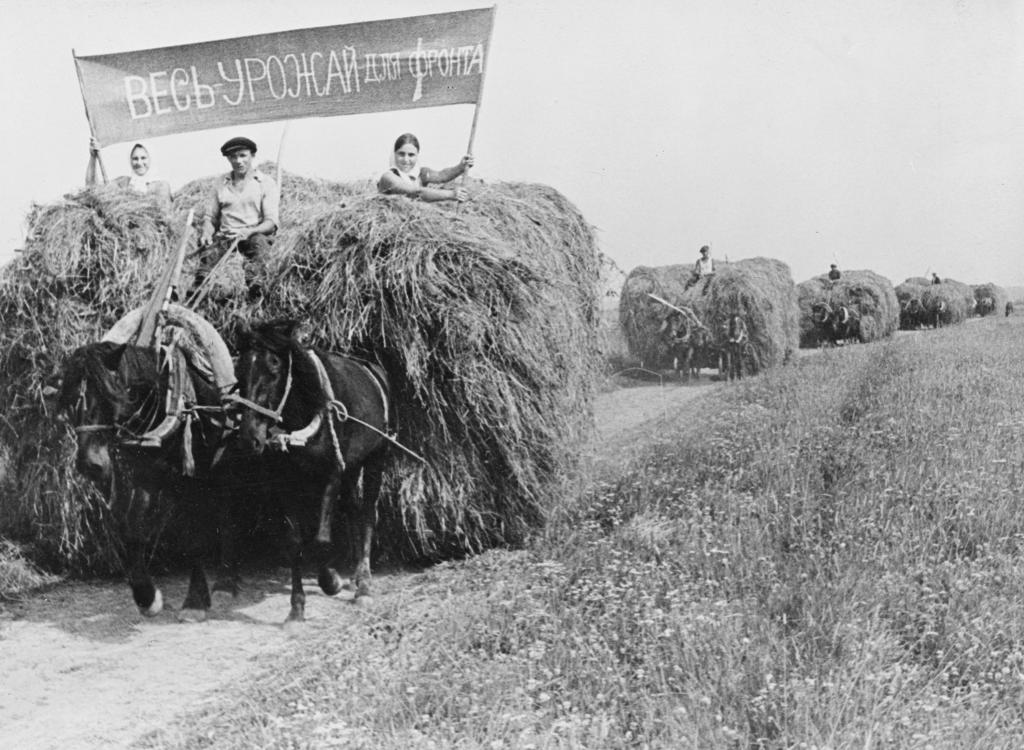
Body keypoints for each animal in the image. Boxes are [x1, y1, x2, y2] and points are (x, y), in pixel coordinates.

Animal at [59, 331, 241, 618]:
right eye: (70, 401)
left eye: (111, 396)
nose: (90, 464)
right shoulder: (143, 477)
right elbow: (131, 530)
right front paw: (146, 596)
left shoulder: (192, 483)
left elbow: (195, 540)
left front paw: (194, 601)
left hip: (223, 470)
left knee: (227, 514)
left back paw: (225, 581)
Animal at [233, 319, 391, 618]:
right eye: (240, 369)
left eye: (274, 365)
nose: (250, 437)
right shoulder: (285, 481)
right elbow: (294, 542)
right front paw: (297, 607)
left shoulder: (332, 474)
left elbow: (321, 539)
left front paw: (330, 580)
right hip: (352, 466)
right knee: (353, 508)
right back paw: (355, 576)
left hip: (375, 459)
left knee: (367, 513)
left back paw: (364, 585)